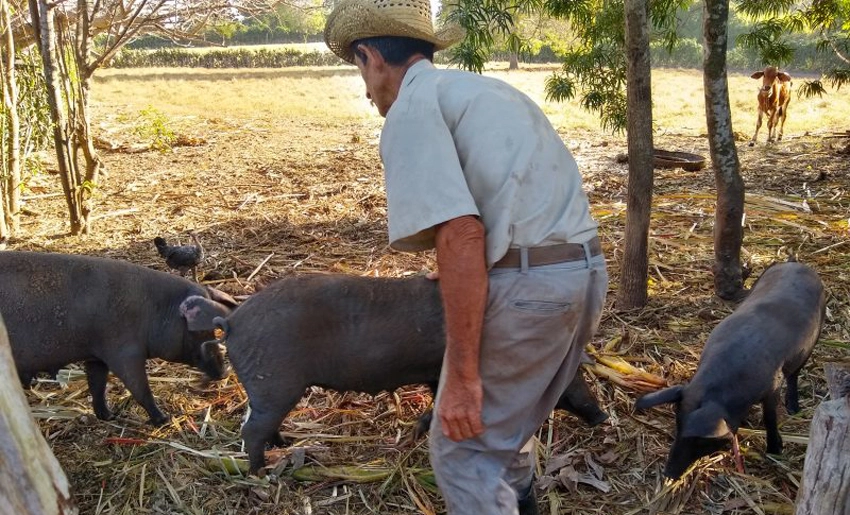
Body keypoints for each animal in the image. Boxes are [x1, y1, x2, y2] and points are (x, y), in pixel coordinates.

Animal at [0, 252, 234, 426]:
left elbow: (97, 384)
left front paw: (108, 415)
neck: (154, 311)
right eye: (198, 330)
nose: (224, 373)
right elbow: (140, 388)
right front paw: (164, 419)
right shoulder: (123, 352)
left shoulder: (96, 355)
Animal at [212, 274, 608, 476]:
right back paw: (261, 472)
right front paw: (418, 433)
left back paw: (284, 445)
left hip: (269, 390)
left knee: (258, 423)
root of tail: (232, 321)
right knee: (251, 430)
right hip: (275, 382)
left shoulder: (435, 373)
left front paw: (416, 432)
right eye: (566, 373)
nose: (602, 416)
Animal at [636, 264, 820, 482]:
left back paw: (793, 409)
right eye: (677, 425)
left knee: (794, 375)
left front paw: (775, 451)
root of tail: (796, 264)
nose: (669, 473)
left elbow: (770, 417)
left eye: (700, 441)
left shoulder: (773, 385)